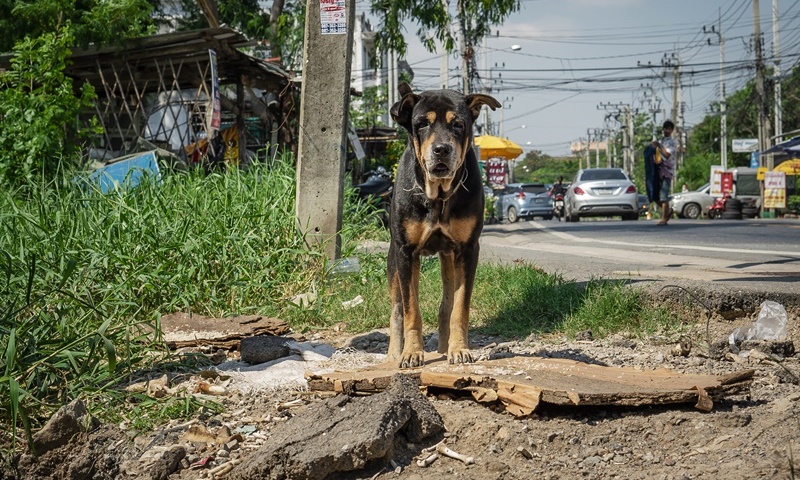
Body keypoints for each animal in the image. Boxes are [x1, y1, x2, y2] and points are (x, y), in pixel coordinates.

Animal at [388, 83, 500, 368]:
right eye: (422, 124)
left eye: (458, 124)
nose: (441, 149)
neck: (438, 195)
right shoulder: (405, 252)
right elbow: (410, 309)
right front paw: (411, 353)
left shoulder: (468, 250)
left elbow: (459, 307)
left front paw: (459, 350)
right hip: (393, 260)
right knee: (396, 308)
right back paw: (393, 352)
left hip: (449, 256)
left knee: (446, 303)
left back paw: (443, 346)